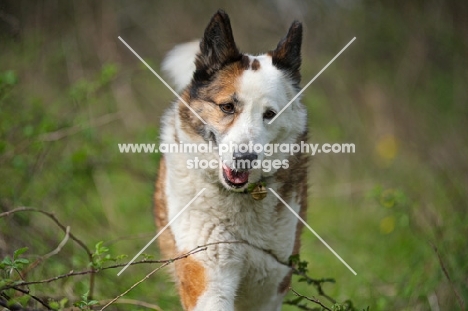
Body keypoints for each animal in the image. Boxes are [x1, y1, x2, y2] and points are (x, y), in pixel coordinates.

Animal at [154, 9, 308, 311]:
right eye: (227, 107)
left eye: (269, 114)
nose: (244, 158)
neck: (240, 198)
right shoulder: (207, 271)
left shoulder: (269, 285)